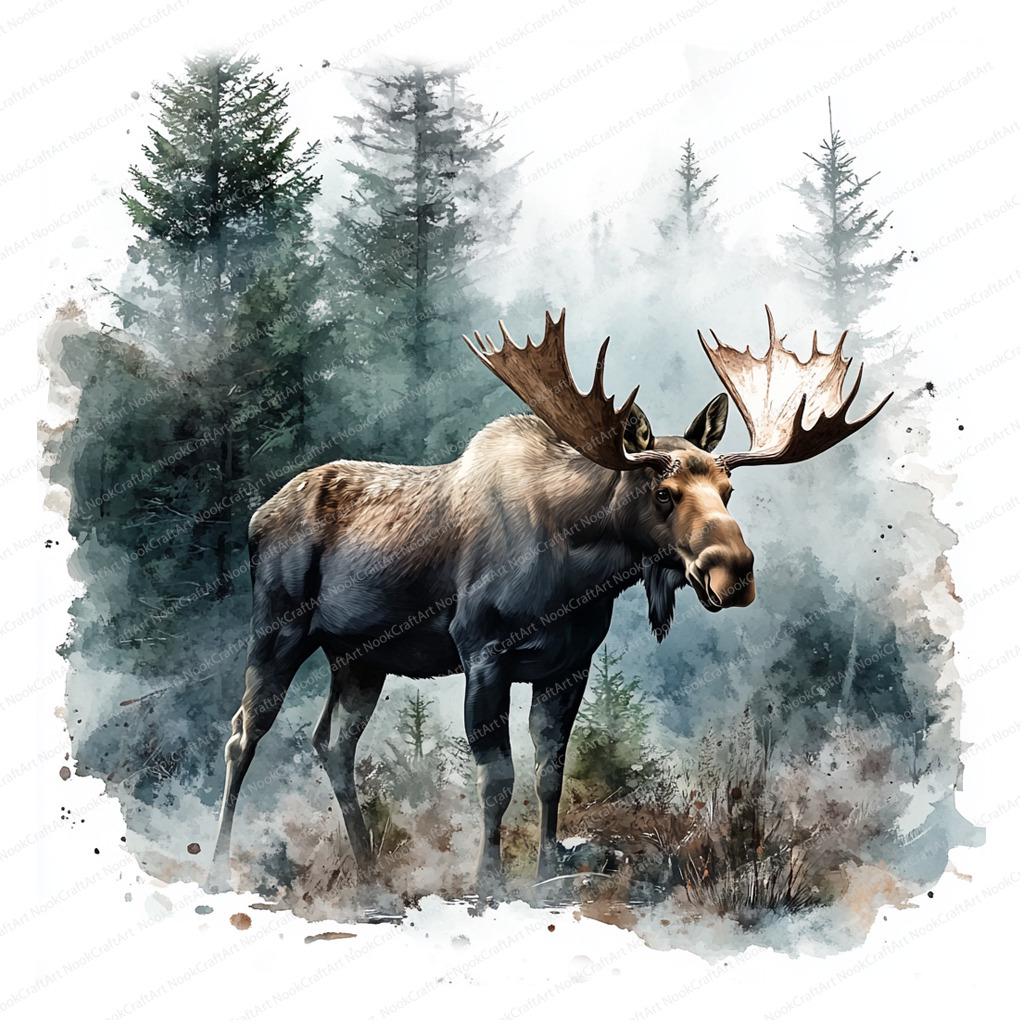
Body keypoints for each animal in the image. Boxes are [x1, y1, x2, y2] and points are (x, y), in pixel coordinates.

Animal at [209, 306, 890, 894]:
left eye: (728, 488)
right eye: (664, 492)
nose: (736, 571)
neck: (576, 572)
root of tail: (255, 518)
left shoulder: (569, 664)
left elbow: (549, 774)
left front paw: (544, 875)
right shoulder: (482, 652)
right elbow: (496, 778)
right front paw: (487, 881)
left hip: (360, 659)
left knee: (332, 744)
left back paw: (370, 876)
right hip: (277, 632)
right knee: (242, 732)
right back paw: (219, 869)